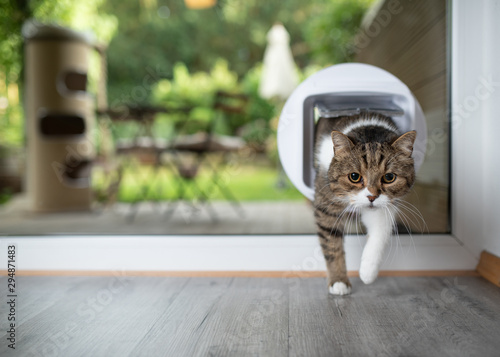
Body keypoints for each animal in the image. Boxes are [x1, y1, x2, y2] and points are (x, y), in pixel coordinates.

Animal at [314, 112, 416, 294]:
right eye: (354, 176)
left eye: (389, 177)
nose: (372, 197)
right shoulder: (326, 204)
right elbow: (332, 244)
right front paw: (339, 281)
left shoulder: (384, 207)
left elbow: (380, 233)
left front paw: (368, 272)